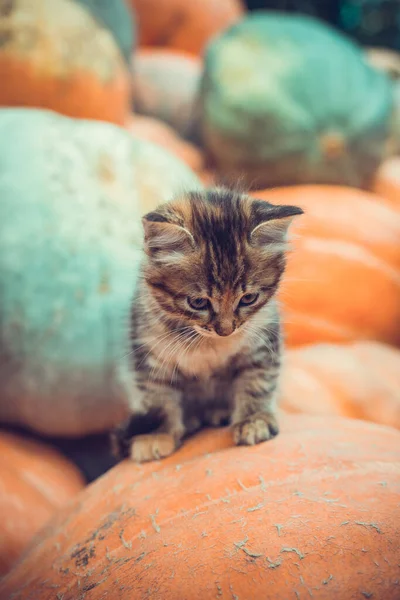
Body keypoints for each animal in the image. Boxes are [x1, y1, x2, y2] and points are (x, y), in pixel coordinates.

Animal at [111, 190, 302, 462]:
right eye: (198, 302)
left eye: (248, 298)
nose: (226, 329)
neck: (207, 342)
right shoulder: (149, 355)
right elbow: (157, 398)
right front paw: (156, 435)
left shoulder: (264, 341)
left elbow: (258, 383)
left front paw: (254, 420)